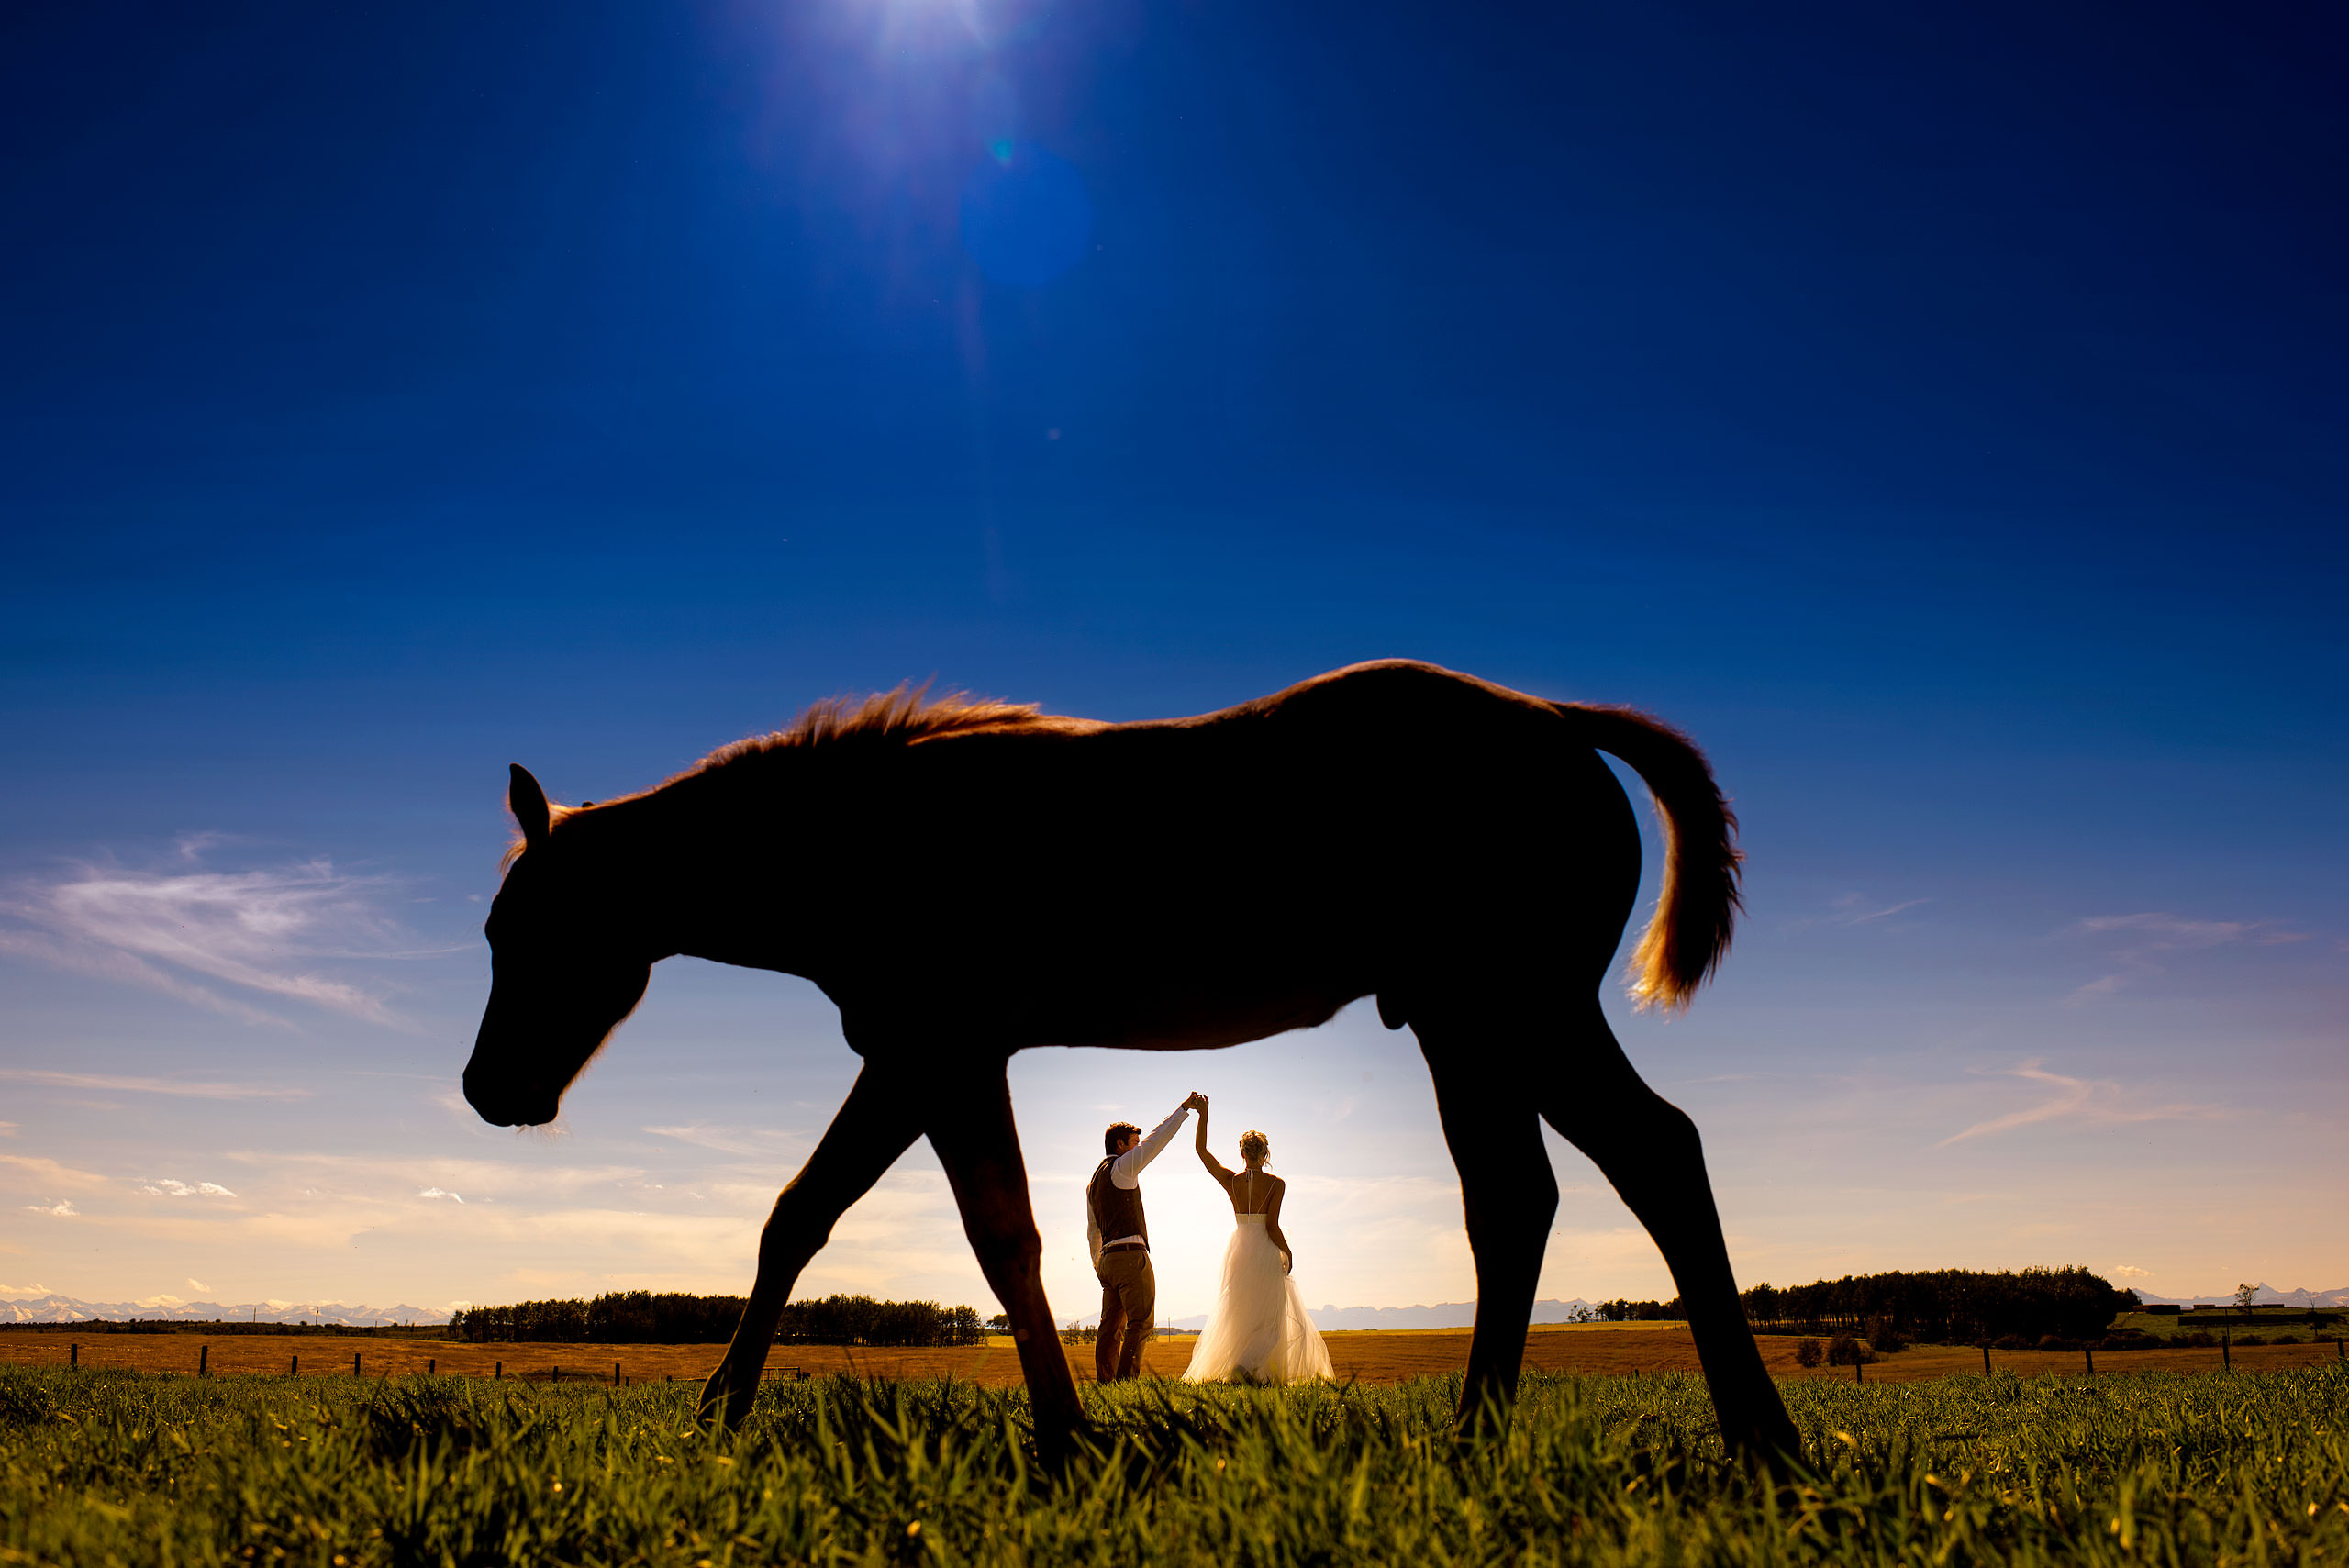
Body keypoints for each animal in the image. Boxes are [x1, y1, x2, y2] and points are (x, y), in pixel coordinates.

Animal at [467, 657, 1804, 1464]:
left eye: (523, 930)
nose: (490, 1090)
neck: (871, 840)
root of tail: (1563, 723)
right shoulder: (922, 1058)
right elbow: (811, 1216)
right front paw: (722, 1409)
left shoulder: (938, 1051)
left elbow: (991, 1237)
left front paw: (1063, 1437)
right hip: (1472, 1025)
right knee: (1531, 1194)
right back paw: (1501, 1437)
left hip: (1511, 1010)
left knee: (1640, 1159)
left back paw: (1759, 1438)